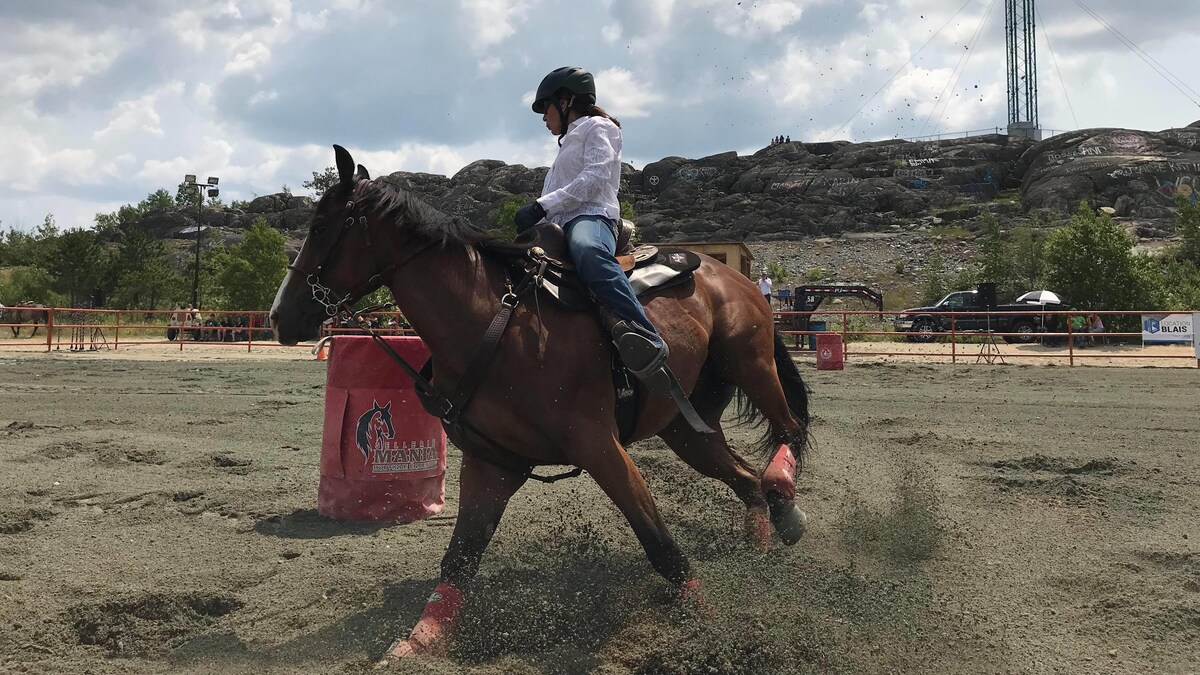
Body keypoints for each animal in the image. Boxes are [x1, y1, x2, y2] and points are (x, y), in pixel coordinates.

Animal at [270, 145, 816, 658]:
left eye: (320, 226)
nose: (278, 317)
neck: (497, 324)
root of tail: (734, 277)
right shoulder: (493, 462)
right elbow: (460, 556)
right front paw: (419, 640)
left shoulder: (598, 445)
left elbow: (659, 542)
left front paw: (708, 622)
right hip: (685, 427)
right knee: (745, 479)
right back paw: (760, 541)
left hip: (751, 364)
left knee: (788, 430)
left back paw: (783, 493)